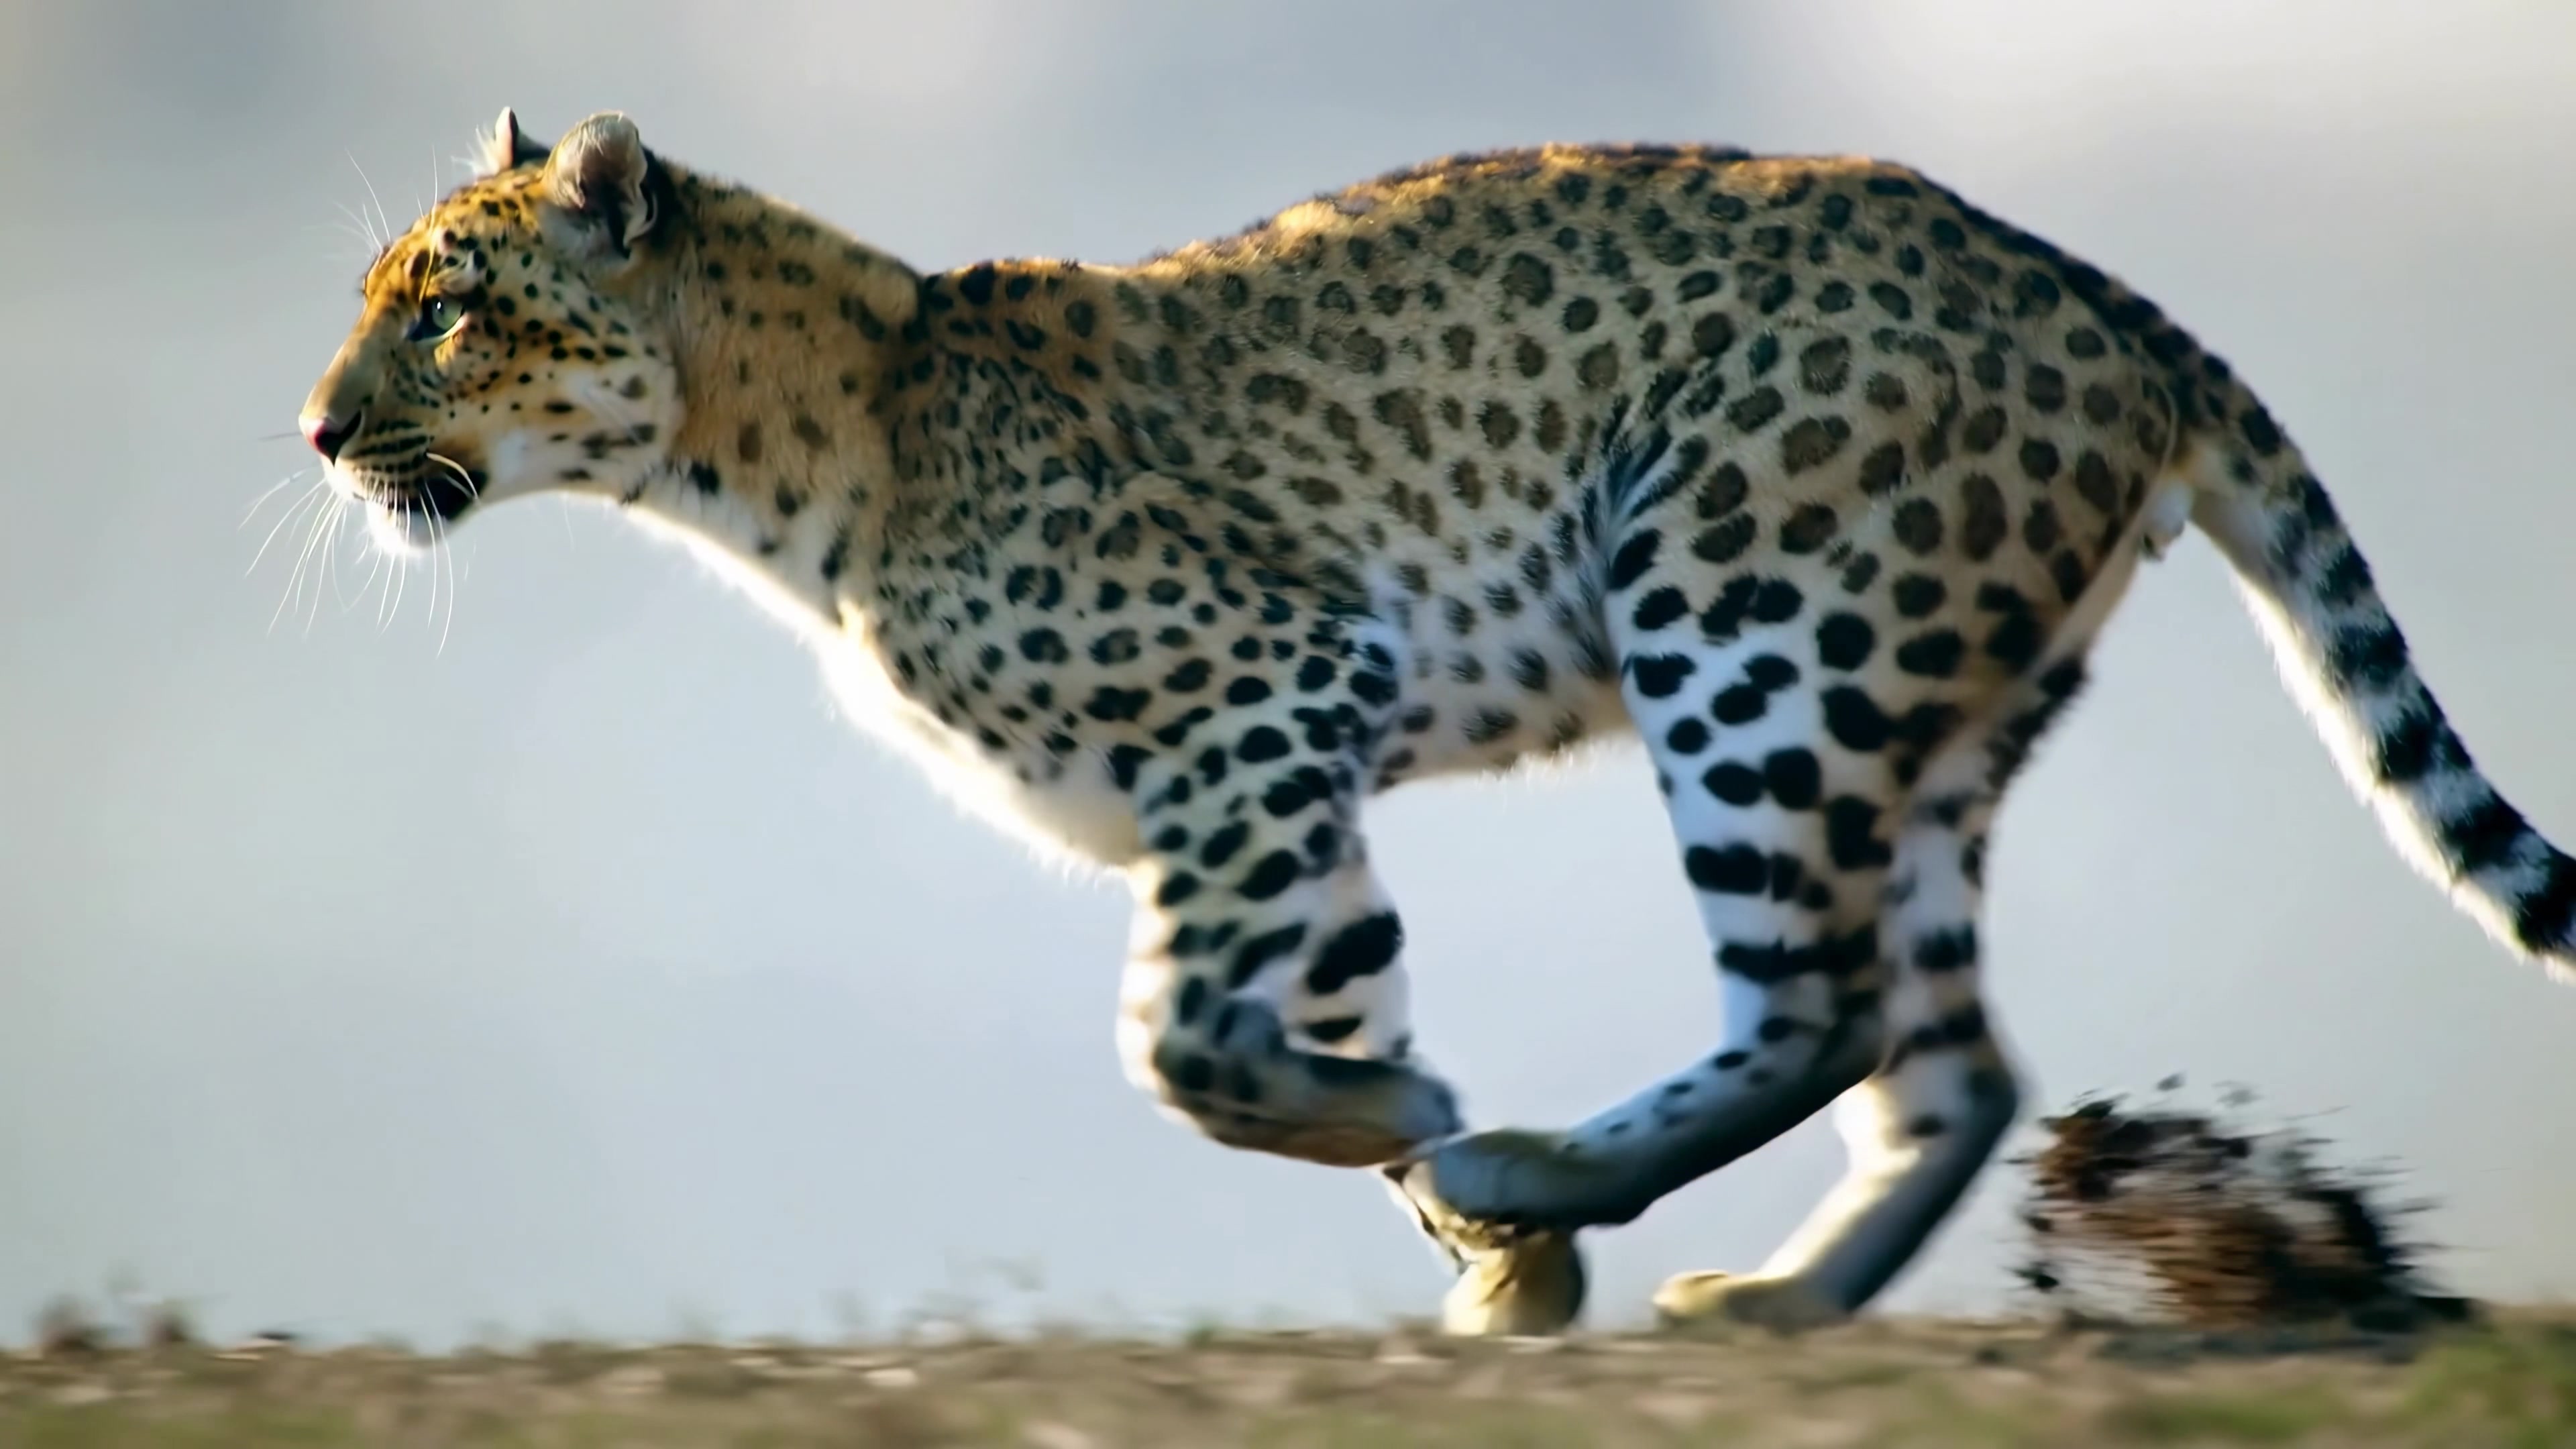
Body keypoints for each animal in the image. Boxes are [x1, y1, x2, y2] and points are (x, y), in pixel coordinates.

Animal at [295, 108, 2576, 1337]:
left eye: (448, 306)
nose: (315, 432)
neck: (783, 463)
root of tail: (2105, 297)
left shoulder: (1272, 696)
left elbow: (1175, 1042)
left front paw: (1455, 1157)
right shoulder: (1282, 797)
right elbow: (1320, 1004)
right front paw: (1486, 1251)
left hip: (1753, 626)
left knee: (1820, 1004)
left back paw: (1558, 1159)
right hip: (1913, 723)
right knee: (1948, 1057)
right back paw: (1764, 1295)